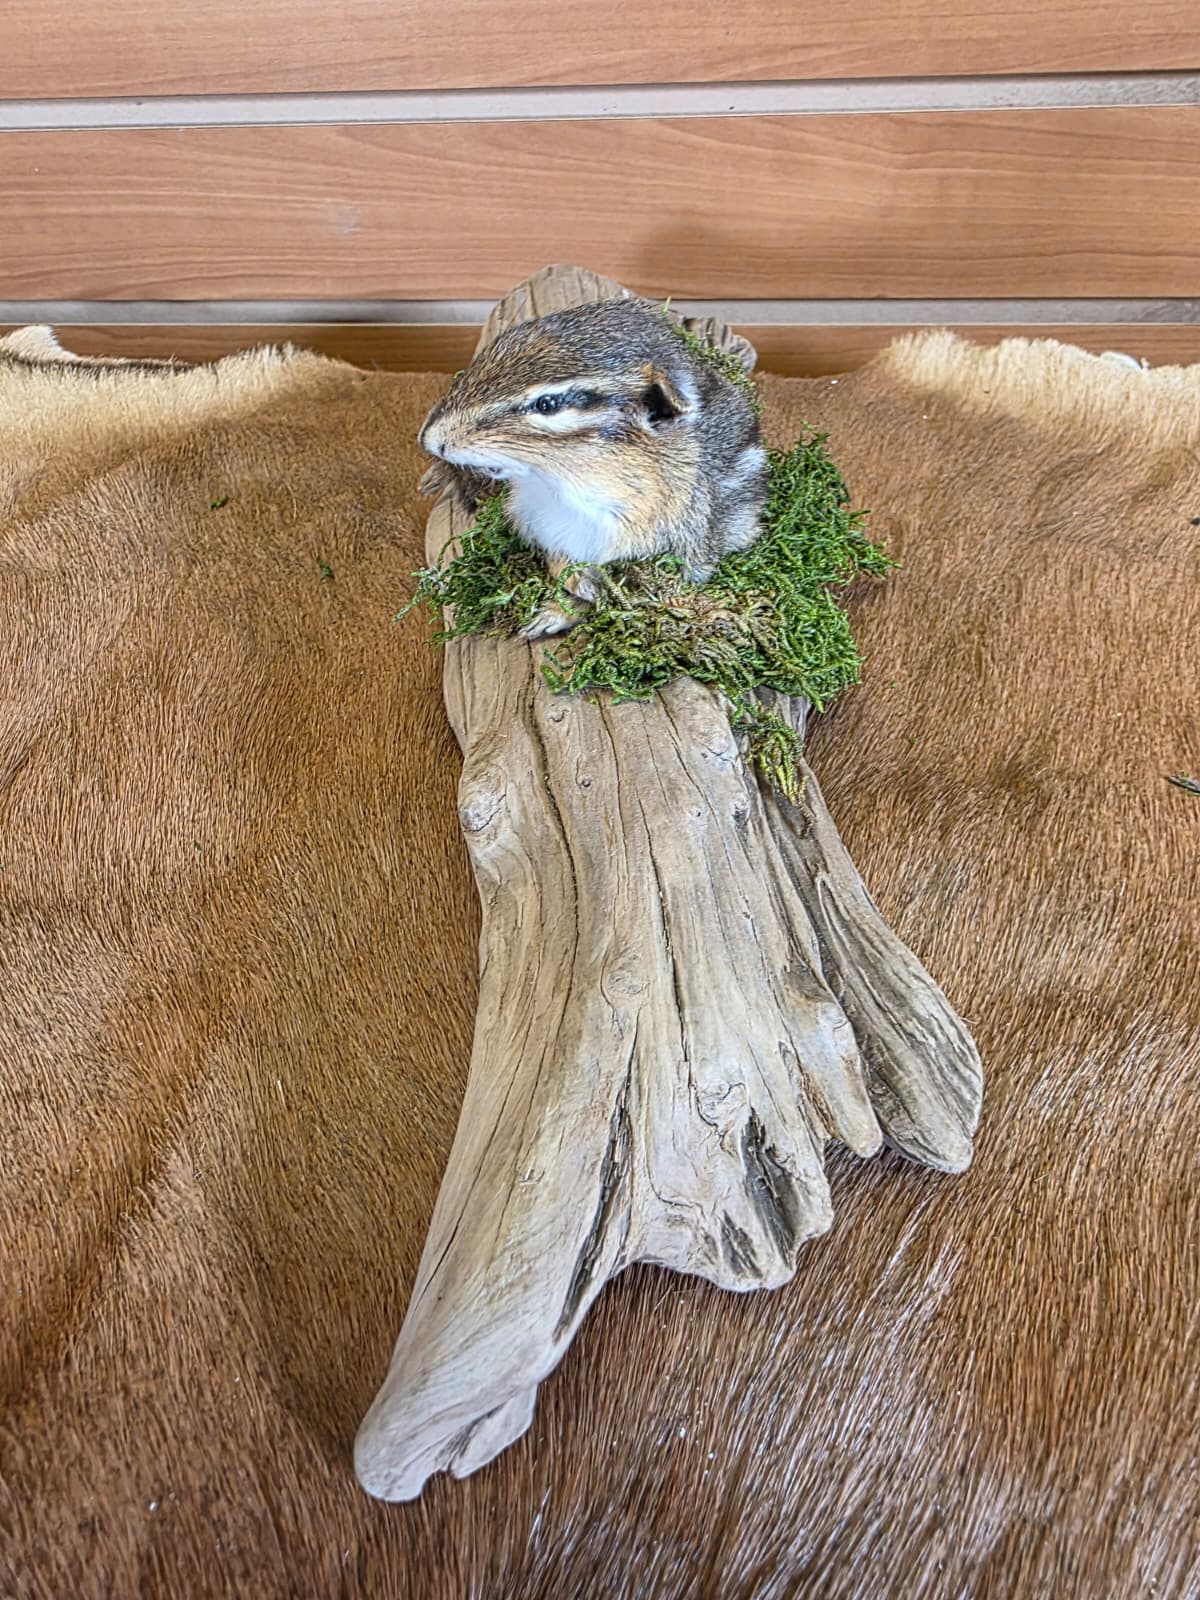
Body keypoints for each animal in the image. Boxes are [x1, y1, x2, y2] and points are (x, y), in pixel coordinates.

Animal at [418, 296, 767, 637]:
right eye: (502, 341)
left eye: (547, 404)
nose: (429, 439)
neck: (560, 488)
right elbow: (562, 567)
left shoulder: (687, 551)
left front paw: (559, 612)